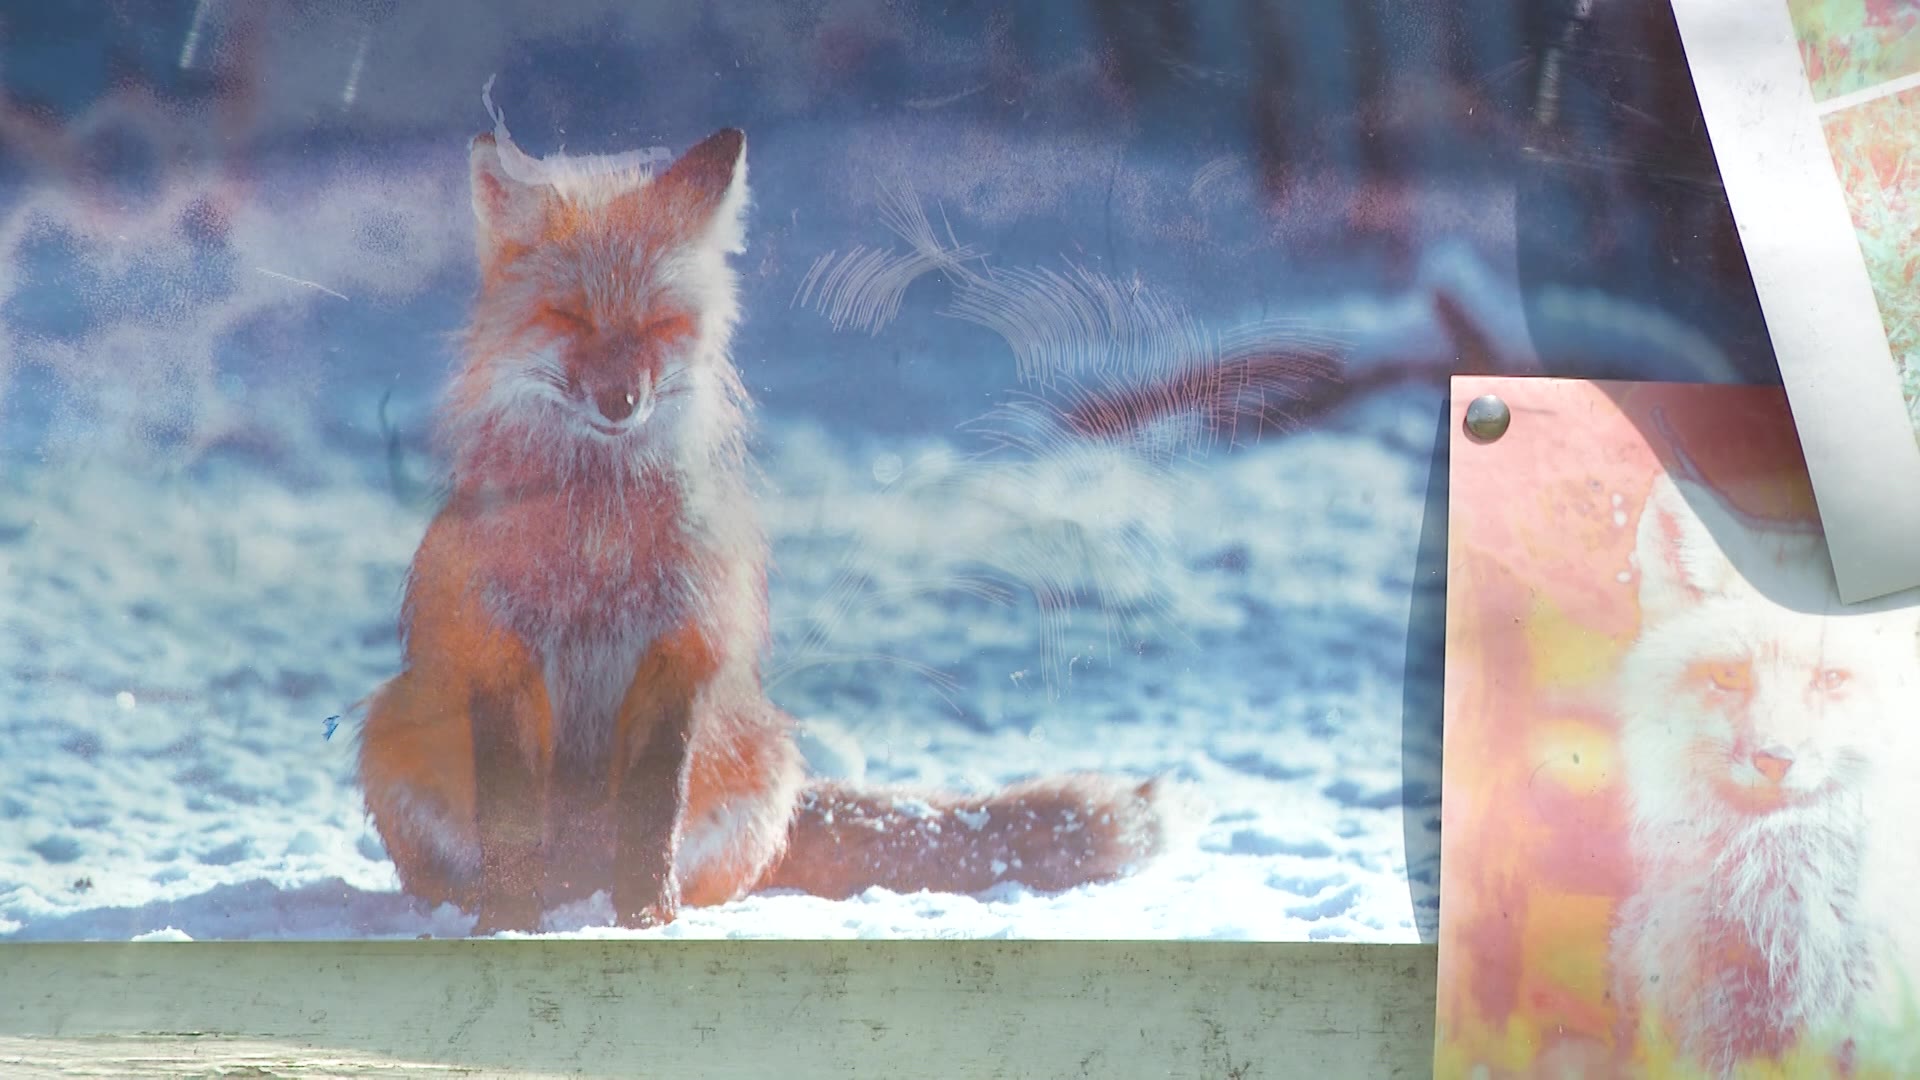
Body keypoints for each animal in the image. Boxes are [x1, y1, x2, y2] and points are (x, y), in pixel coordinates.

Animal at [354, 107, 1175, 934]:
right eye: (571, 316)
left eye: (660, 323)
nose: (620, 401)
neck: (595, 537)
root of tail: (574, 882)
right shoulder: (499, 648)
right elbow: (511, 817)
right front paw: (508, 924)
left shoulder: (681, 645)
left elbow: (652, 814)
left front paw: (646, 918)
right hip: (390, 726)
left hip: (766, 753)